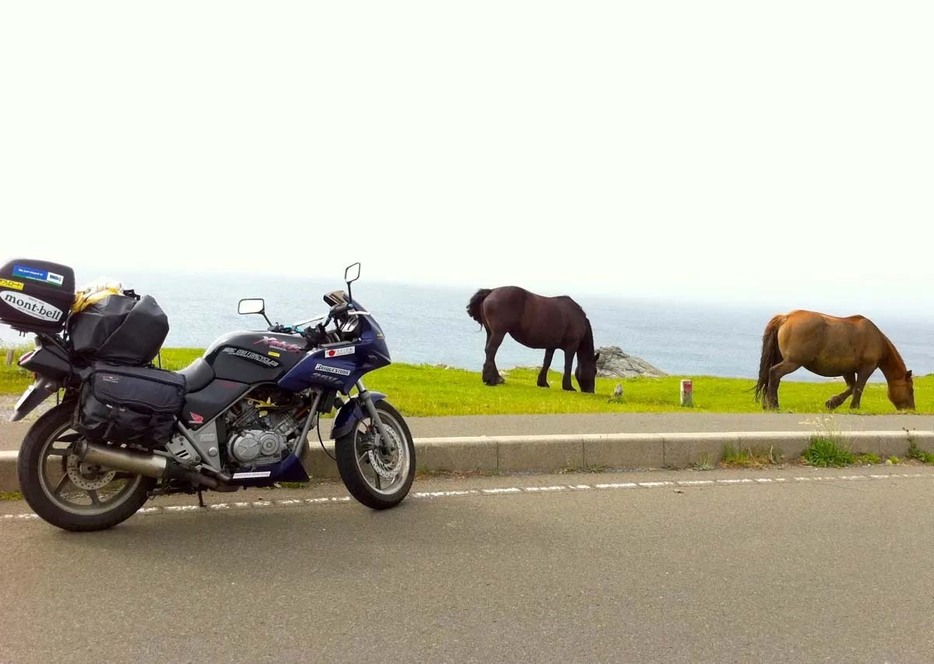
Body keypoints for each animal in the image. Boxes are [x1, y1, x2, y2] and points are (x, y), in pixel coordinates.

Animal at [466, 286, 600, 392]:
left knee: (489, 352)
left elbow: (547, 362)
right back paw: (491, 380)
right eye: (595, 371)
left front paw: (542, 382)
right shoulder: (571, 347)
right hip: (499, 333)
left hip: (491, 332)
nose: (590, 391)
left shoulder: (551, 346)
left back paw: (496, 378)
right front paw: (568, 386)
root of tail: (492, 291)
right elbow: (568, 365)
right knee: (491, 350)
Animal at [752, 310, 916, 410]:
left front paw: (832, 403)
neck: (876, 340)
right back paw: (774, 405)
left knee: (771, 378)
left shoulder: (847, 370)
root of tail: (786, 317)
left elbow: (851, 387)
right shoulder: (866, 368)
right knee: (774, 374)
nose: (911, 409)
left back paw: (768, 404)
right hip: (793, 362)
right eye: (911, 390)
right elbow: (858, 387)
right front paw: (854, 407)